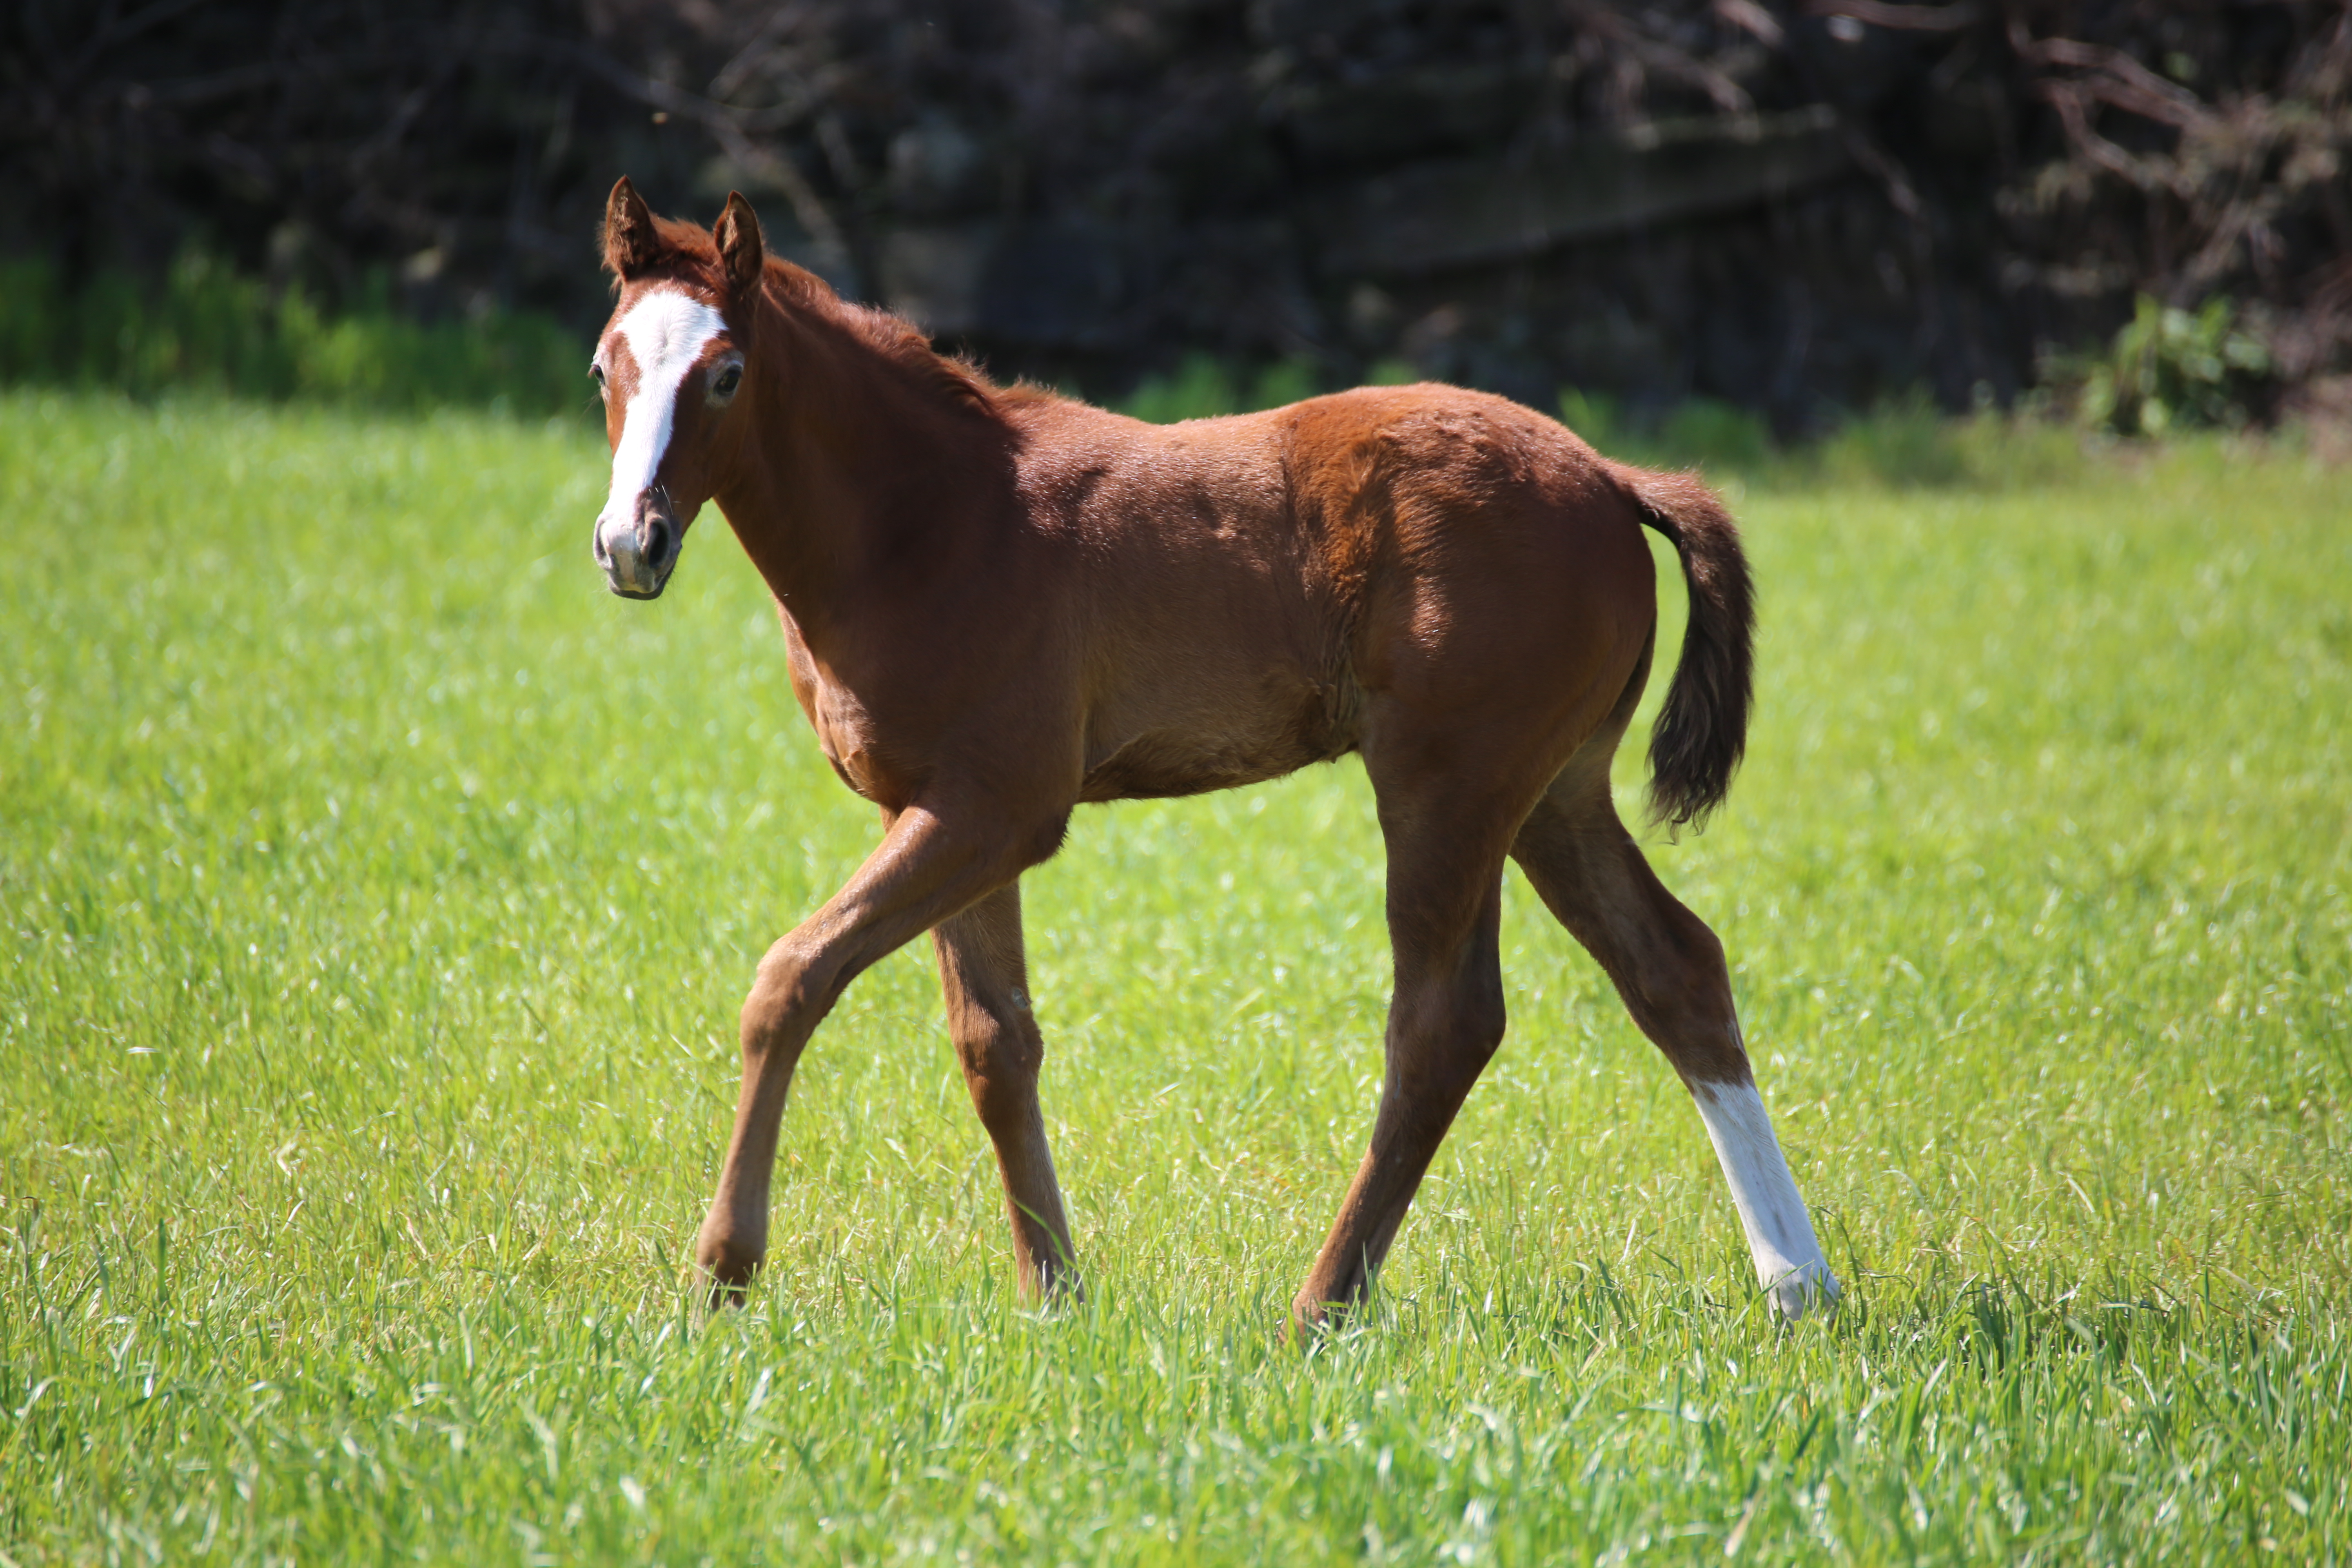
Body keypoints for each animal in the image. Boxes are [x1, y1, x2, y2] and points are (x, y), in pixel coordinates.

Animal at [583, 181, 1834, 1326]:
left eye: (725, 372)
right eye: (605, 371)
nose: (630, 545)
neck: (934, 519)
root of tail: (1615, 479)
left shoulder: (998, 808)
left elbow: (791, 978)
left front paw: (722, 1269)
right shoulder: (927, 810)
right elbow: (995, 1041)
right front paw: (1054, 1293)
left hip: (1448, 787)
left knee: (1445, 1023)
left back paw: (1323, 1304)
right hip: (1554, 794)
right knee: (1675, 969)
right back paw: (1797, 1286)